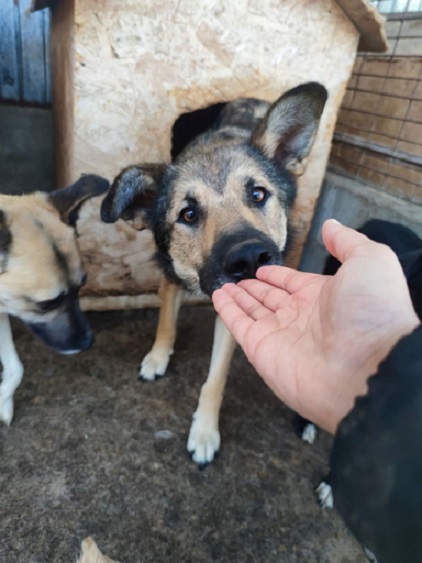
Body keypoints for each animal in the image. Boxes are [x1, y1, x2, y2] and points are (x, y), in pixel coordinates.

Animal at [101, 80, 326, 468]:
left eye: (258, 194)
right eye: (188, 214)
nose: (250, 258)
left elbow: (215, 380)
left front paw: (204, 431)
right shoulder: (170, 275)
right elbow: (166, 324)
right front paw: (158, 358)